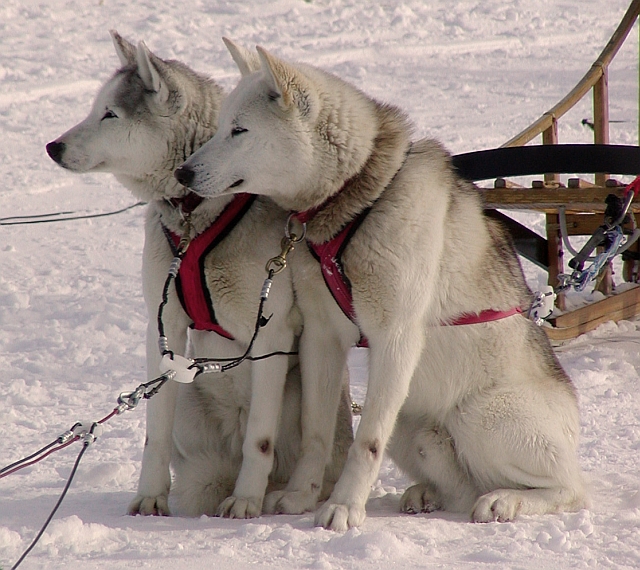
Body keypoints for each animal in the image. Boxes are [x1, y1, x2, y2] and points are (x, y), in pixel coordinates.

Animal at [47, 32, 352, 520]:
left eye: (110, 114)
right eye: (96, 108)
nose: (52, 147)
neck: (194, 217)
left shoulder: (270, 334)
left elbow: (259, 440)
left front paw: (245, 500)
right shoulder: (163, 326)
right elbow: (154, 432)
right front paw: (150, 496)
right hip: (194, 415)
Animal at [175, 38, 592, 528]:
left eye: (239, 130)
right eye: (221, 126)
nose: (183, 173)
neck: (358, 201)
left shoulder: (394, 337)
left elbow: (365, 441)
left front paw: (343, 507)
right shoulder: (322, 336)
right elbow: (317, 434)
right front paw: (300, 496)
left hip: (479, 415)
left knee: (571, 489)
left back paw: (506, 500)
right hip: (413, 430)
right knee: (461, 487)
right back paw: (432, 494)